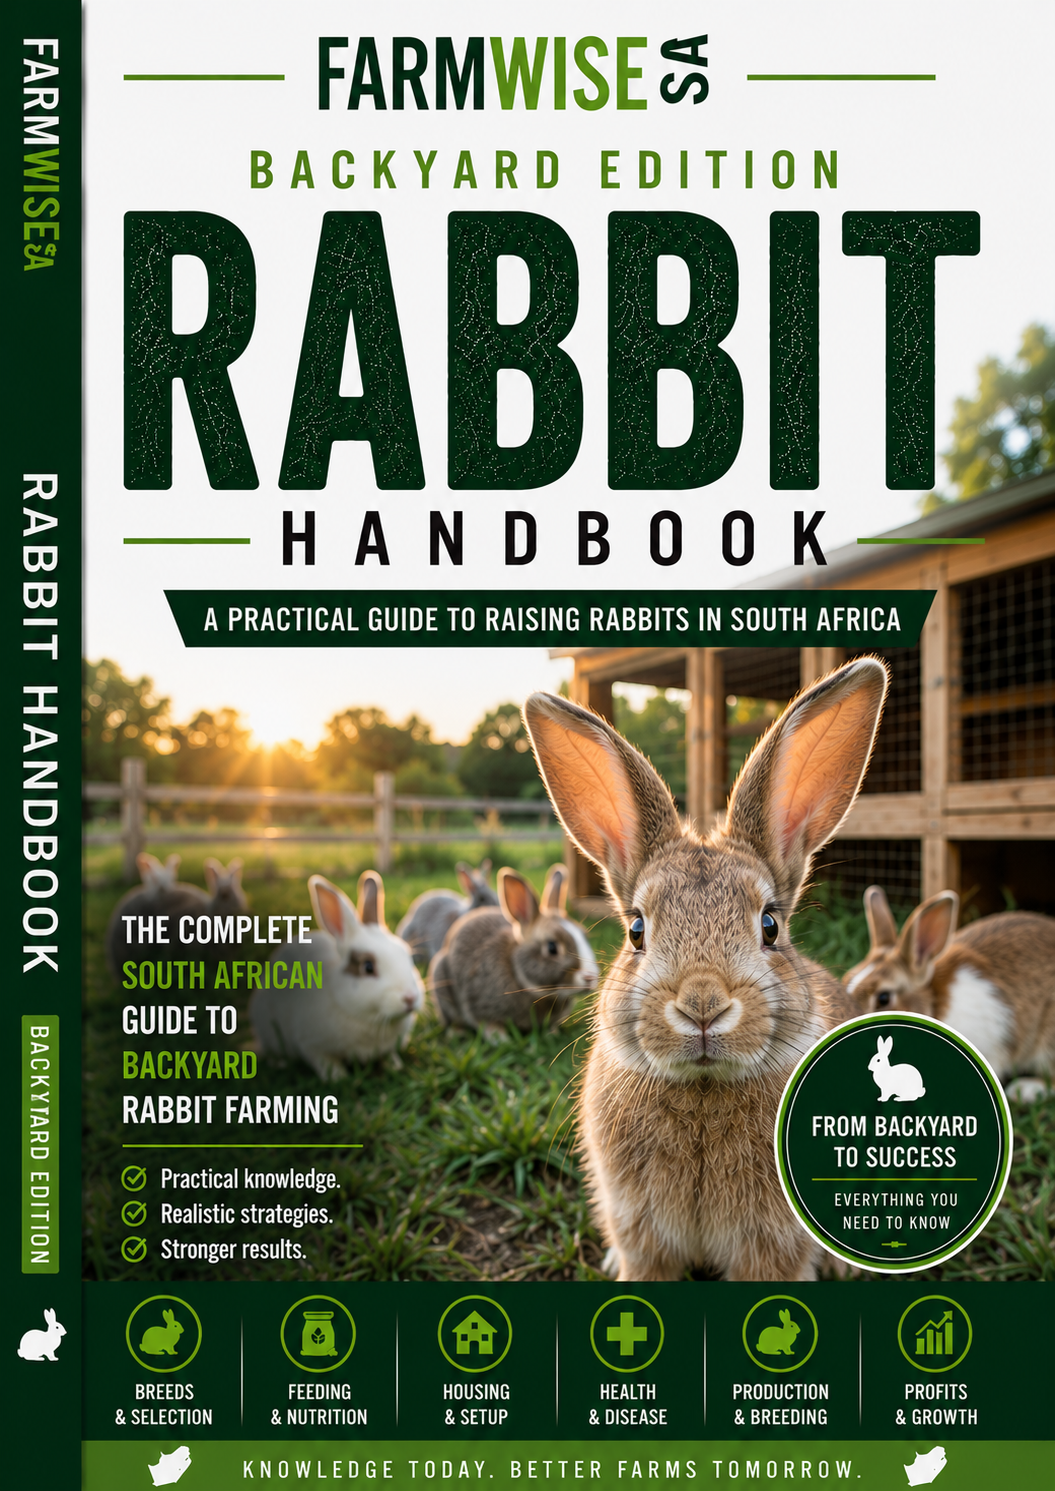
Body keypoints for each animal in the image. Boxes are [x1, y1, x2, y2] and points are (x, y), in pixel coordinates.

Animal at [251, 870, 424, 1079]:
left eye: (406, 954)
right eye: (368, 967)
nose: (410, 998)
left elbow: (389, 1054)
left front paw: (395, 1065)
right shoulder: (310, 1044)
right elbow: (324, 1062)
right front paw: (338, 1077)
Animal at [427, 864, 598, 1039]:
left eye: (584, 935)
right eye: (552, 947)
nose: (590, 977)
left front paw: (552, 1033)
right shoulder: (479, 1004)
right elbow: (489, 1024)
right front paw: (501, 1039)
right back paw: (457, 1032)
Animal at [522, 657, 888, 1282]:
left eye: (770, 926)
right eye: (636, 931)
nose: (701, 1006)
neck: (703, 1089)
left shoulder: (772, 1244)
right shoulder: (641, 1229)